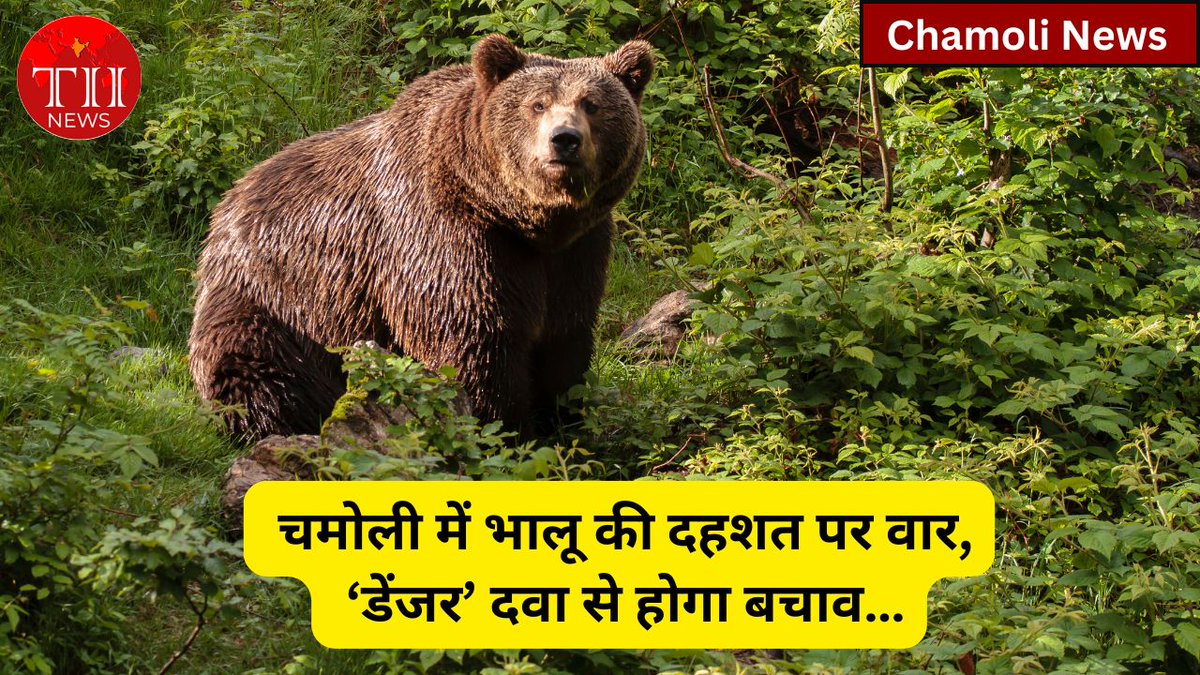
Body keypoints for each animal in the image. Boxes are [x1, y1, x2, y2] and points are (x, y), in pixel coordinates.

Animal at [188, 35, 655, 441]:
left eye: (592, 104)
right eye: (536, 104)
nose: (565, 140)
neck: (522, 218)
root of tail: (229, 201)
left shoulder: (576, 251)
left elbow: (564, 339)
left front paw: (563, 423)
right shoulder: (449, 238)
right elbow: (472, 342)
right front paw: (503, 429)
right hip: (277, 301)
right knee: (254, 369)